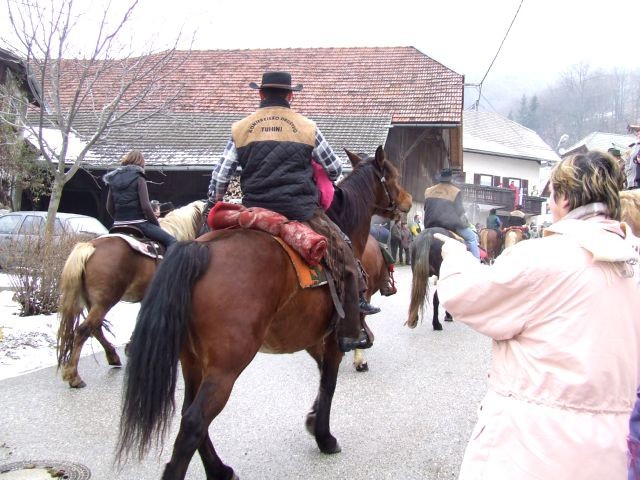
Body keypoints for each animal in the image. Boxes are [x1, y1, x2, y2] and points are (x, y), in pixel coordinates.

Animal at [57, 201, 204, 388]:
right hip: (105, 301)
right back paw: (74, 376)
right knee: (84, 329)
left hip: (92, 302)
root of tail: (91, 247)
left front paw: (131, 346)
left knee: (95, 328)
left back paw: (112, 357)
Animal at [117, 146, 412, 480]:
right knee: (194, 422)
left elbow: (322, 378)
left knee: (188, 414)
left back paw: (219, 469)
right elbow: (329, 383)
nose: (408, 201)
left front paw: (313, 420)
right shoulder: (334, 340)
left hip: (191, 360)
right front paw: (324, 436)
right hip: (225, 367)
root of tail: (198, 249)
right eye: (393, 175)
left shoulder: (313, 339)